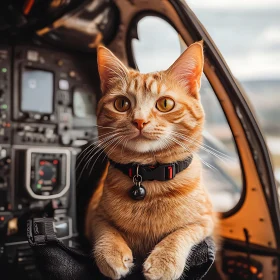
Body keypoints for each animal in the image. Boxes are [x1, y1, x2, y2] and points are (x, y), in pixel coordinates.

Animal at [84, 42, 215, 280]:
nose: (139, 121)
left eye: (165, 104)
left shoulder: (206, 220)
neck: (149, 176)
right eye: (121, 103)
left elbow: (182, 232)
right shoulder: (93, 216)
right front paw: (111, 252)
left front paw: (164, 261)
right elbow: (106, 228)